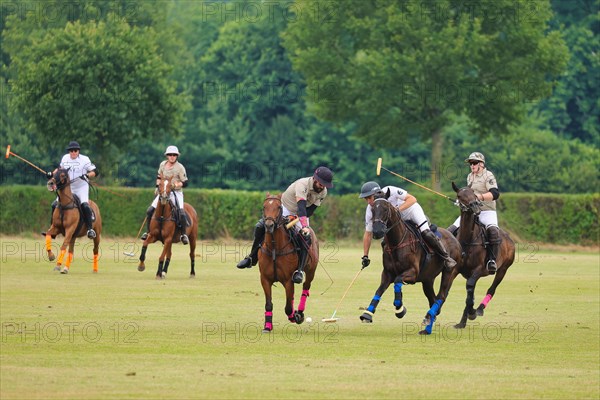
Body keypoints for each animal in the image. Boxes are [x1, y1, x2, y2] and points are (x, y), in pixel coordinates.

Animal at [260, 193, 322, 332]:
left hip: (311, 271)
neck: (274, 248)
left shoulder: (288, 280)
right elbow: (268, 304)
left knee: (305, 287)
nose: (269, 225)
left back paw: (299, 312)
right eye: (264, 206)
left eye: (279, 207)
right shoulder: (265, 279)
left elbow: (288, 307)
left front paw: (295, 317)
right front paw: (267, 326)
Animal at [358, 194, 462, 334]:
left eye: (385, 209)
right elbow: (379, 289)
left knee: (442, 295)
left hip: (449, 272)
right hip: (427, 279)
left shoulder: (412, 273)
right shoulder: (387, 273)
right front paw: (367, 313)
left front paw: (399, 309)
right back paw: (429, 318)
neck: (396, 242)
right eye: (372, 210)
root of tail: (453, 237)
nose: (377, 231)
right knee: (432, 298)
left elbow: (397, 281)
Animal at [450, 183, 516, 330]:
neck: (467, 241)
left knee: (491, 288)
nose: (475, 206)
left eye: (474, 194)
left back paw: (479, 309)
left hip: (503, 269)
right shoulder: (456, 270)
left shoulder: (479, 269)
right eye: (459, 196)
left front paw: (472, 312)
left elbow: (470, 290)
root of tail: (508, 237)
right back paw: (463, 321)